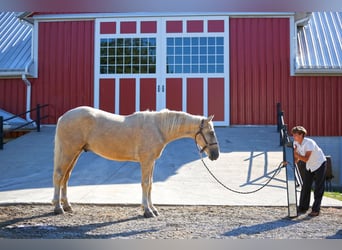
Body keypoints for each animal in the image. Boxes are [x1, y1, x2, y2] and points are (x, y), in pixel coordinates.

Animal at [52, 106, 220, 218]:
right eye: (211, 132)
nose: (215, 155)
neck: (158, 128)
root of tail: (63, 117)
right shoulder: (146, 161)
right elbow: (145, 184)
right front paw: (147, 211)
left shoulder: (151, 162)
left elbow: (150, 184)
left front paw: (153, 209)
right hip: (69, 152)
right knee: (59, 176)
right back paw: (58, 207)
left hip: (75, 153)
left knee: (66, 177)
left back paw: (67, 206)